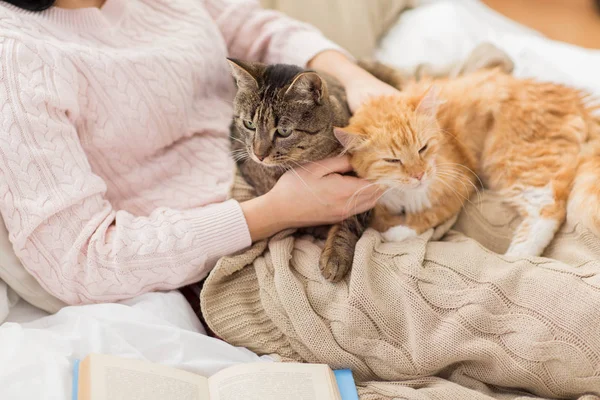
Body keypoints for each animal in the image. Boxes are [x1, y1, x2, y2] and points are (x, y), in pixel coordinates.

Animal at [336, 68, 596, 256]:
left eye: (423, 148)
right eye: (393, 160)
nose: (419, 175)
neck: (403, 194)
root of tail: (574, 99)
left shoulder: (461, 183)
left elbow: (429, 216)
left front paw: (398, 232)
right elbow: (380, 218)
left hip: (508, 158)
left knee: (548, 209)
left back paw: (516, 257)